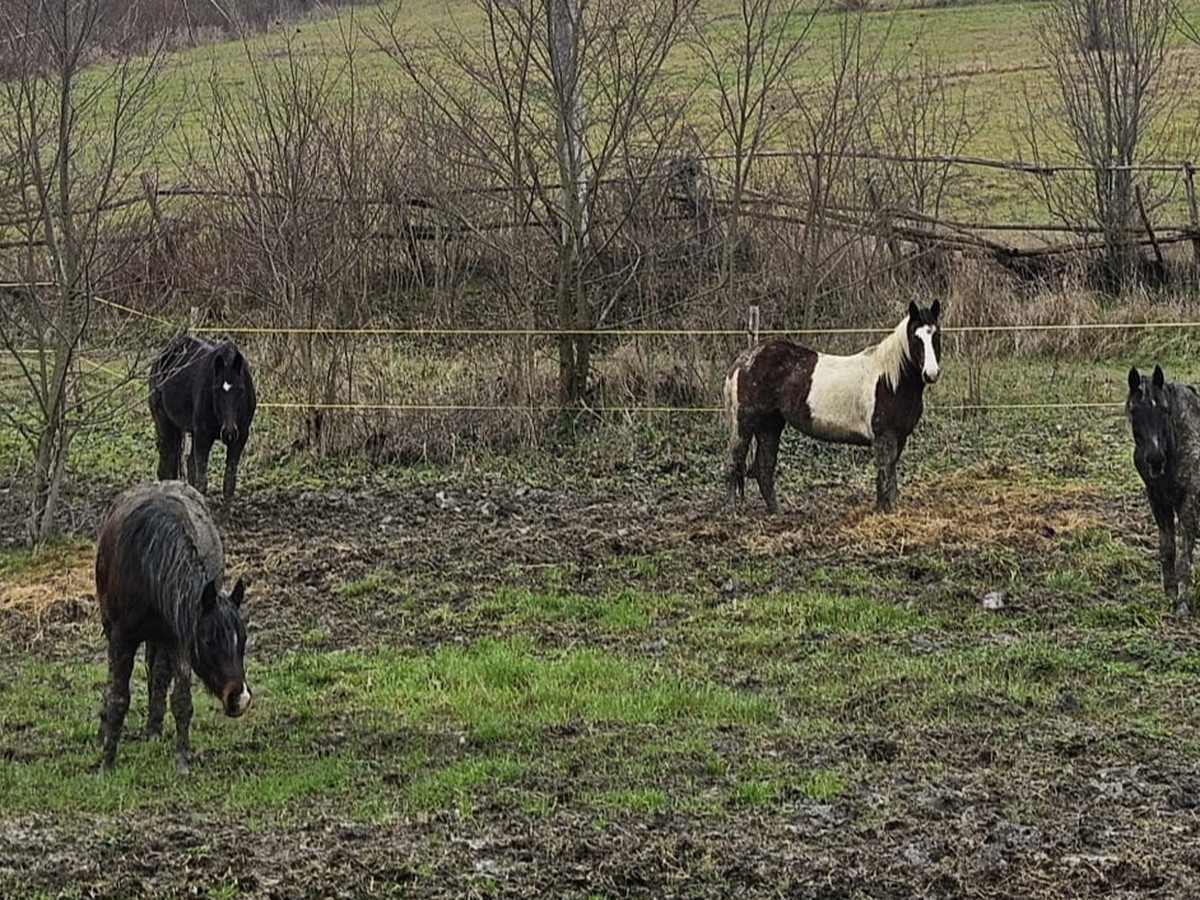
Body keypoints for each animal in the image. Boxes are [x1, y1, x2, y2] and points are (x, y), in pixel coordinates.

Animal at [95, 481, 251, 773]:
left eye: (243, 640)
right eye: (209, 641)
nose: (240, 698)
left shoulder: (179, 639)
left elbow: (181, 699)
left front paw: (182, 759)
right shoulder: (122, 638)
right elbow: (118, 697)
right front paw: (107, 762)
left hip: (162, 639)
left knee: (159, 675)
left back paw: (154, 729)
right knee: (114, 682)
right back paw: (103, 733)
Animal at [150, 335, 257, 502]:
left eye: (241, 389)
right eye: (216, 390)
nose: (229, 432)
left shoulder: (240, 438)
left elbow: (228, 483)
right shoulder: (203, 435)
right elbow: (202, 483)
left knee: (186, 464)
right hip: (165, 425)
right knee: (166, 465)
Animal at [724, 300, 942, 514]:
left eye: (936, 334)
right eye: (916, 337)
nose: (931, 374)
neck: (890, 381)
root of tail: (741, 362)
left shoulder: (900, 437)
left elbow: (887, 477)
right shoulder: (884, 437)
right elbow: (886, 475)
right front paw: (887, 512)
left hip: (770, 424)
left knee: (764, 468)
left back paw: (778, 511)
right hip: (744, 423)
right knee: (734, 463)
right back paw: (731, 511)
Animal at [1126, 364, 1200, 617]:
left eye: (1165, 410)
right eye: (1134, 411)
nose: (1155, 459)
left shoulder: (1189, 503)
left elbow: (1184, 555)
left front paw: (1183, 605)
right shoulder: (1158, 501)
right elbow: (1167, 549)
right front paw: (1170, 595)